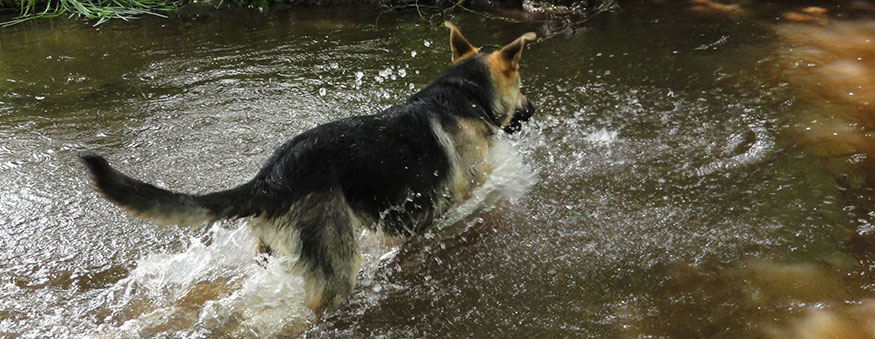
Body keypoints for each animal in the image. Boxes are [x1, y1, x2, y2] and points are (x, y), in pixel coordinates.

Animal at [82, 21, 536, 316]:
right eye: (522, 85)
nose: (532, 110)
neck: (462, 93)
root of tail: (269, 180)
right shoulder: (469, 189)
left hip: (272, 253)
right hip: (337, 267)